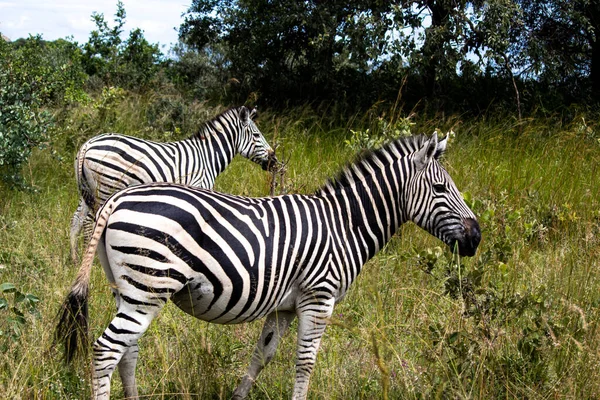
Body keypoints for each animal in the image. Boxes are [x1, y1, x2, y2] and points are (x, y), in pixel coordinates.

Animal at [54, 134, 480, 400]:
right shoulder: (319, 298)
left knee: (127, 350)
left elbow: (263, 356)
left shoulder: (284, 306)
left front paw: (237, 397)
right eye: (440, 189)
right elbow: (305, 363)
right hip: (148, 286)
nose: (476, 238)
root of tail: (119, 199)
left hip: (130, 289)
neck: (344, 225)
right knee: (106, 351)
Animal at [68, 104, 278, 264]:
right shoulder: (199, 186)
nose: (274, 160)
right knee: (91, 222)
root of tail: (87, 144)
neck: (207, 157)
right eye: (257, 136)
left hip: (86, 190)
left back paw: (75, 258)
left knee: (76, 220)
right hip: (106, 186)